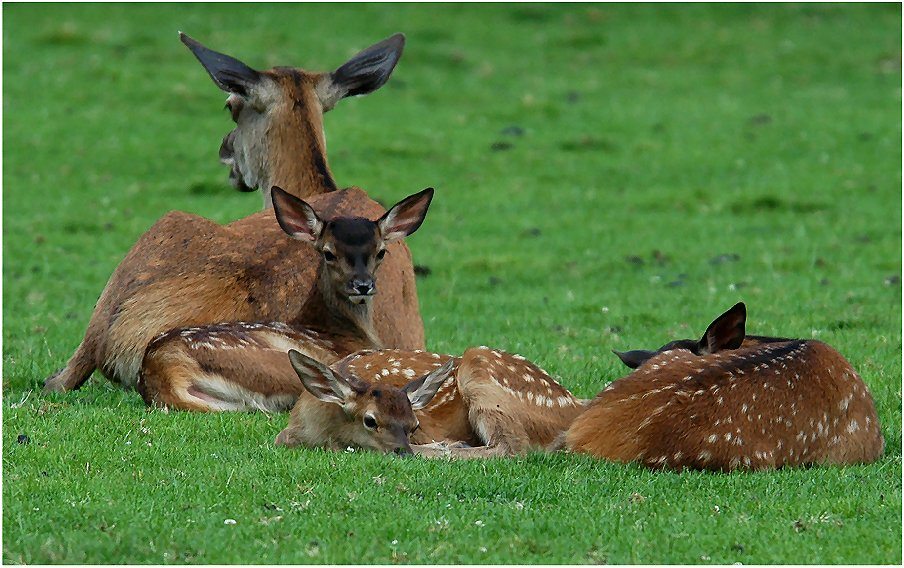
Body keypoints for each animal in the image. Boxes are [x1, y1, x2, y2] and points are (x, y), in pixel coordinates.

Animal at [276, 346, 588, 458]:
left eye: (414, 425)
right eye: (370, 420)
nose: (403, 451)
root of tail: (576, 407)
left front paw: (447, 445)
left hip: (479, 367)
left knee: (510, 446)